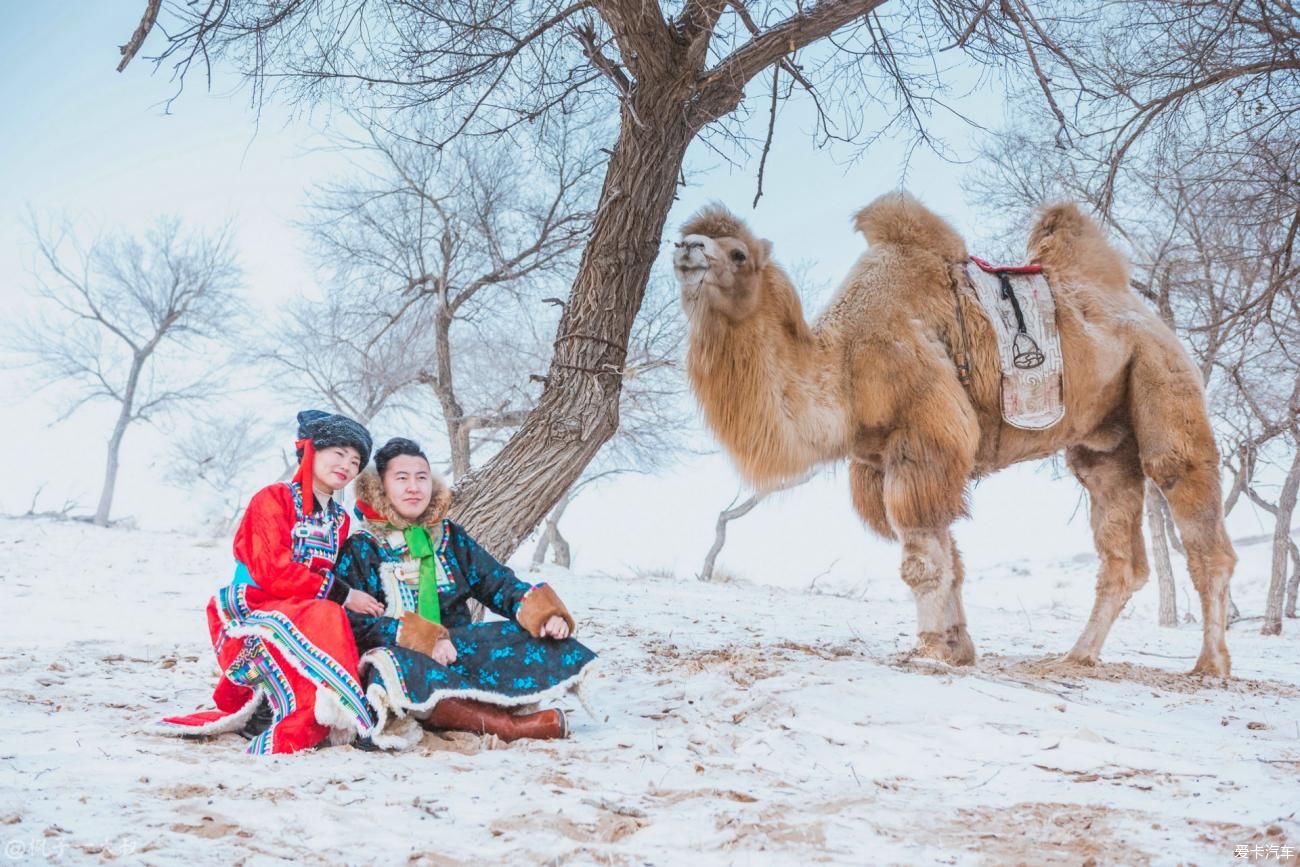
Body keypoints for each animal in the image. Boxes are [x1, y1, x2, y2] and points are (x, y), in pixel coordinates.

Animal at [676, 194, 1232, 675]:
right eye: (689, 235)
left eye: (739, 253)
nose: (686, 249)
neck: (846, 364)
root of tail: (1145, 312)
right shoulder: (882, 461)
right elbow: (951, 559)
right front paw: (957, 647)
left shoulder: (925, 439)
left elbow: (923, 561)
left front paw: (927, 649)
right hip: (1103, 442)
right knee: (1120, 552)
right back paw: (1076, 657)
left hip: (1162, 378)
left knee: (1190, 502)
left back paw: (1210, 666)